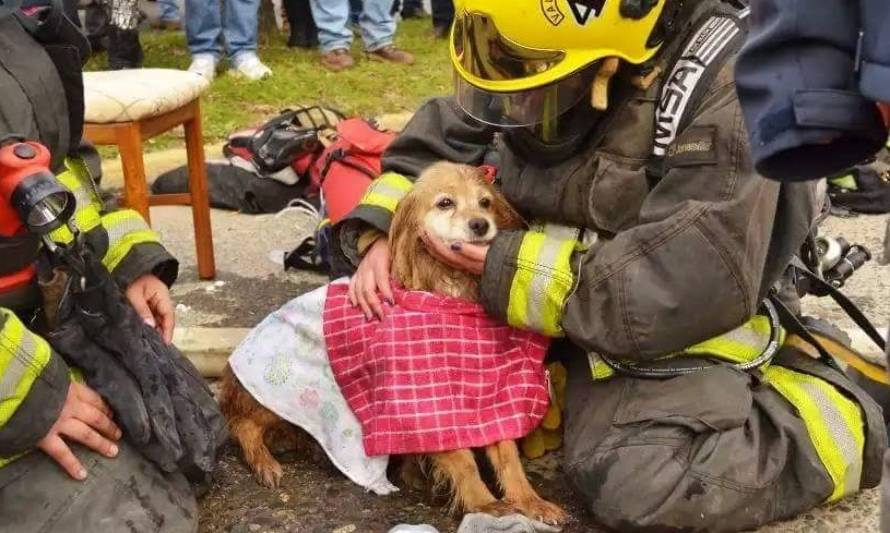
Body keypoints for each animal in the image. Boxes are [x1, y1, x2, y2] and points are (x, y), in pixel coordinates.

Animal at [222, 162, 568, 524]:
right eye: (445, 203)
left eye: (485, 202)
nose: (480, 224)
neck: (450, 291)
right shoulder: (424, 396)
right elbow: (462, 458)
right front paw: (484, 503)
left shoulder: (485, 388)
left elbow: (507, 456)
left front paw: (530, 501)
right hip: (277, 393)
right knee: (241, 425)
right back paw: (264, 462)